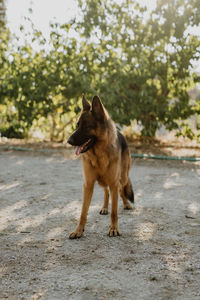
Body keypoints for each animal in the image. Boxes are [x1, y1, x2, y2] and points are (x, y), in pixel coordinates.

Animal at [67, 95, 134, 238]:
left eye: (86, 126)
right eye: (77, 125)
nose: (68, 141)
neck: (99, 155)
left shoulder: (113, 182)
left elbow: (114, 211)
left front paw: (113, 228)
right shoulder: (88, 184)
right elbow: (83, 211)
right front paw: (78, 230)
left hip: (123, 177)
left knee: (121, 190)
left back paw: (126, 203)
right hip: (100, 181)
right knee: (106, 191)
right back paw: (104, 207)